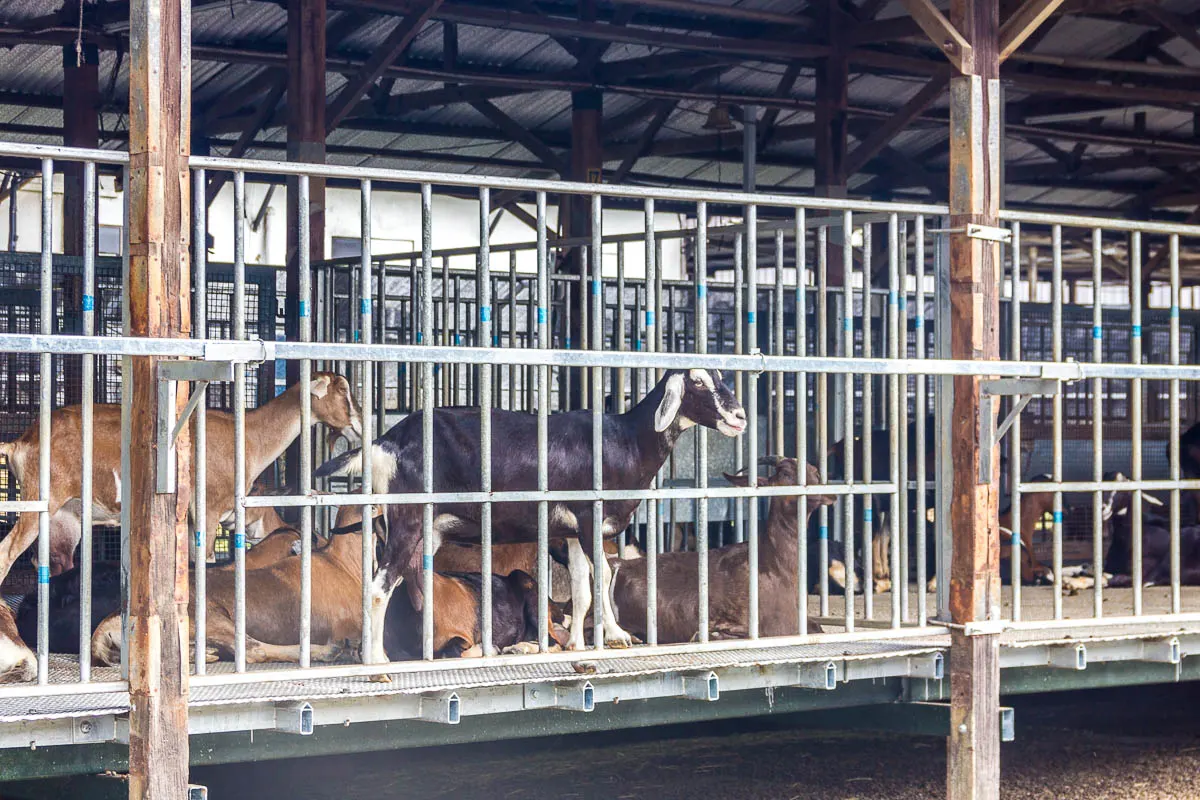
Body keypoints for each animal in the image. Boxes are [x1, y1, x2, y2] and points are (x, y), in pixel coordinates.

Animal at [0, 369, 360, 582]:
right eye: (343, 389)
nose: (358, 427)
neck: (249, 436)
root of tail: (20, 442)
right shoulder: (209, 510)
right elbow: (207, 559)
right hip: (38, 501)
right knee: (7, 553)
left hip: (64, 519)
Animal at [314, 367, 744, 662]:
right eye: (698, 382)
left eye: (720, 377)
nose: (739, 416)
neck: (624, 440)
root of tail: (385, 443)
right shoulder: (589, 516)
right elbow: (605, 576)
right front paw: (618, 635)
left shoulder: (570, 532)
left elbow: (581, 589)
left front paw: (577, 644)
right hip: (409, 517)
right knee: (378, 587)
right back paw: (379, 660)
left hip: (420, 531)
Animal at [609, 455, 835, 642]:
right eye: (786, 474)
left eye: (816, 472)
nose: (828, 495)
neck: (776, 562)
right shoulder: (774, 625)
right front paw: (712, 633)